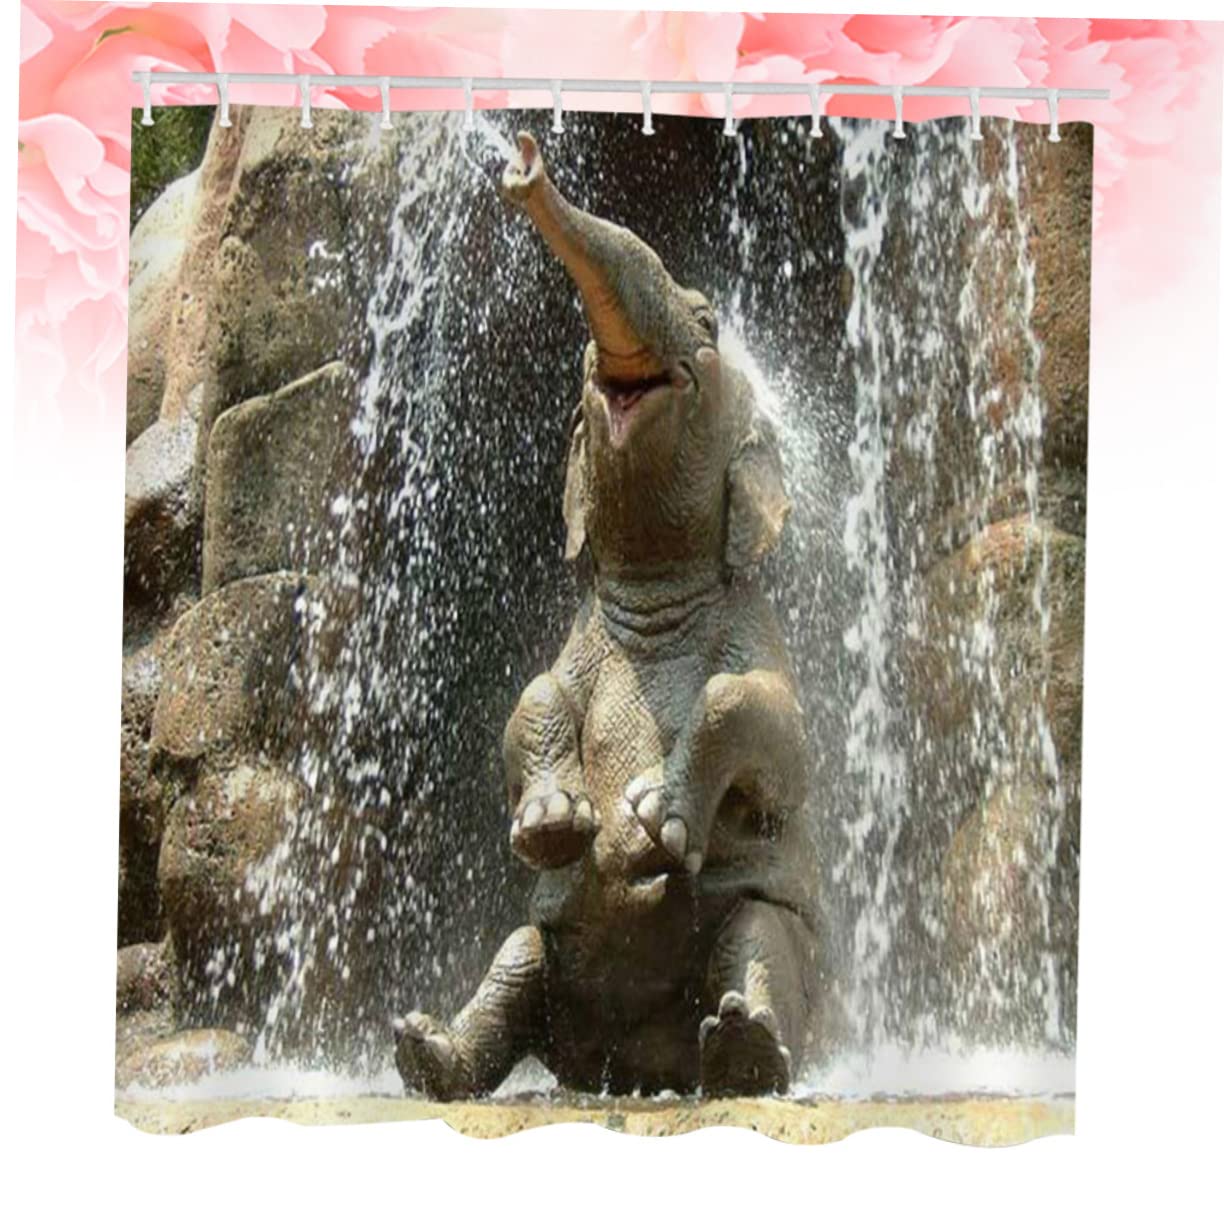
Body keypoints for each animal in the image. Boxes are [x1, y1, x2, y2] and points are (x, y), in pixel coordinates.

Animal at [393, 132, 820, 1099]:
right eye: (586, 375)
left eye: (706, 323)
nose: (523, 163)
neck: (660, 588)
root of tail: (633, 1062)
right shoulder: (584, 640)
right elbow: (533, 696)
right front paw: (557, 824)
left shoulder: (754, 625)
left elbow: (776, 729)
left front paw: (653, 820)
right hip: (546, 960)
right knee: (516, 957)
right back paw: (426, 1051)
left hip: (773, 934)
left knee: (759, 940)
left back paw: (741, 1052)